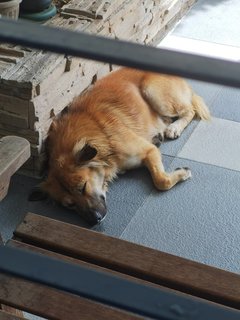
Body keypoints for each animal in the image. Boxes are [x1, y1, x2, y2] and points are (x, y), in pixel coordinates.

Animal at [30, 67, 210, 224]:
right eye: (70, 205)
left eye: (82, 187)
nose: (95, 220)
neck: (102, 137)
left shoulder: (148, 151)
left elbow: (161, 181)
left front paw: (182, 173)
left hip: (153, 92)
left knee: (189, 110)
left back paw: (174, 128)